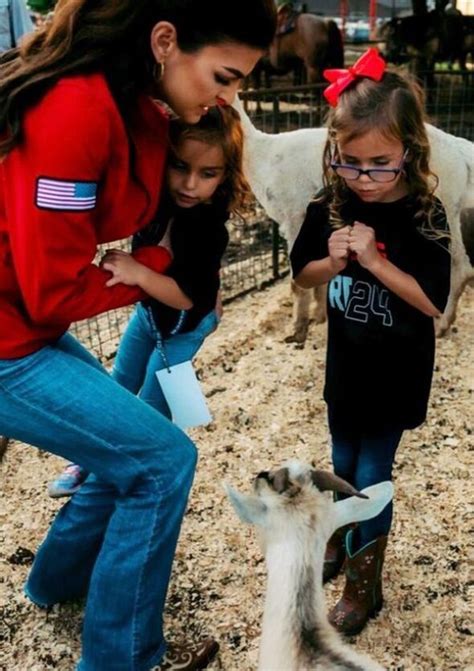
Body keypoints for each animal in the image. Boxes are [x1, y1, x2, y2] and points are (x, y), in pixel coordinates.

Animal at [236, 96, 474, 342]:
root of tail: (463, 157)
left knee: (458, 268)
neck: (261, 158)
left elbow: (298, 280)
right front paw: (320, 317)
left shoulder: (293, 214)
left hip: (443, 208)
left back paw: (441, 325)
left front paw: (297, 331)